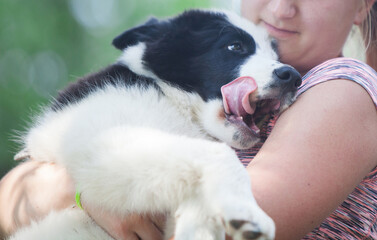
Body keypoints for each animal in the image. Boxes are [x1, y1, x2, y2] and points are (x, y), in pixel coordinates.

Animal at [11, 8, 300, 240]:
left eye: (275, 54)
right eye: (234, 47)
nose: (292, 76)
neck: (174, 100)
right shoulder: (103, 142)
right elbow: (217, 153)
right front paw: (245, 210)